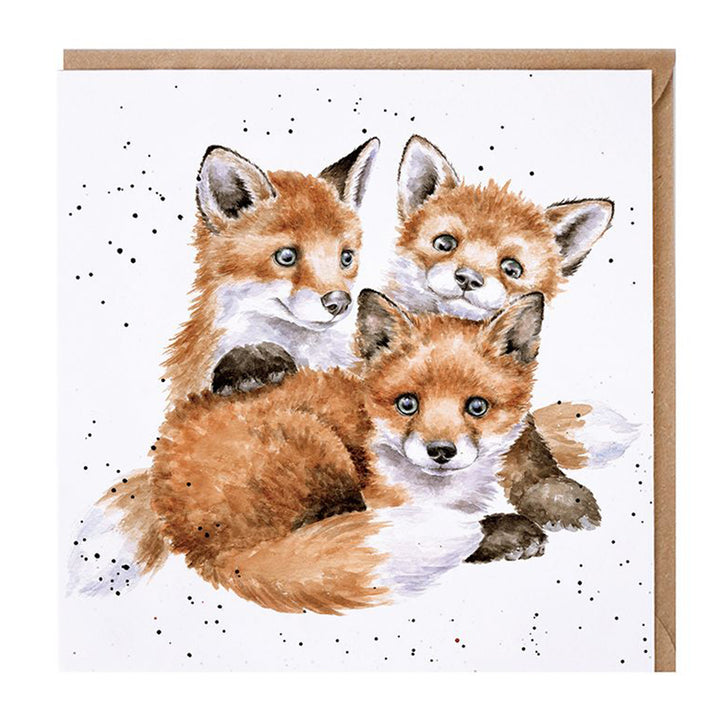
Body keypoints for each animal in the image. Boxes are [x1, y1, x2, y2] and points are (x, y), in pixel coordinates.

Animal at [70, 290, 566, 613]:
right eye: (407, 404)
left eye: (477, 407)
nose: (440, 451)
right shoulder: (386, 501)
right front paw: (502, 531)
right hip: (320, 449)